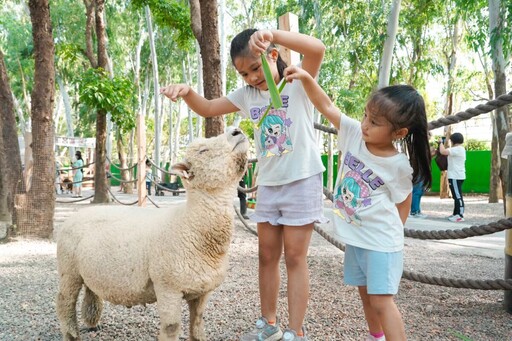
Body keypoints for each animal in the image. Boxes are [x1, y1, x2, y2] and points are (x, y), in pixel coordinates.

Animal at [56, 127, 248, 340]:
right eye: (203, 151)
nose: (237, 130)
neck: (189, 226)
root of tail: (75, 215)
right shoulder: (167, 286)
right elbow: (171, 327)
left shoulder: (202, 291)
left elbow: (198, 324)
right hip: (69, 269)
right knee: (64, 301)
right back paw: (71, 334)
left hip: (87, 269)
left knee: (91, 290)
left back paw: (92, 322)